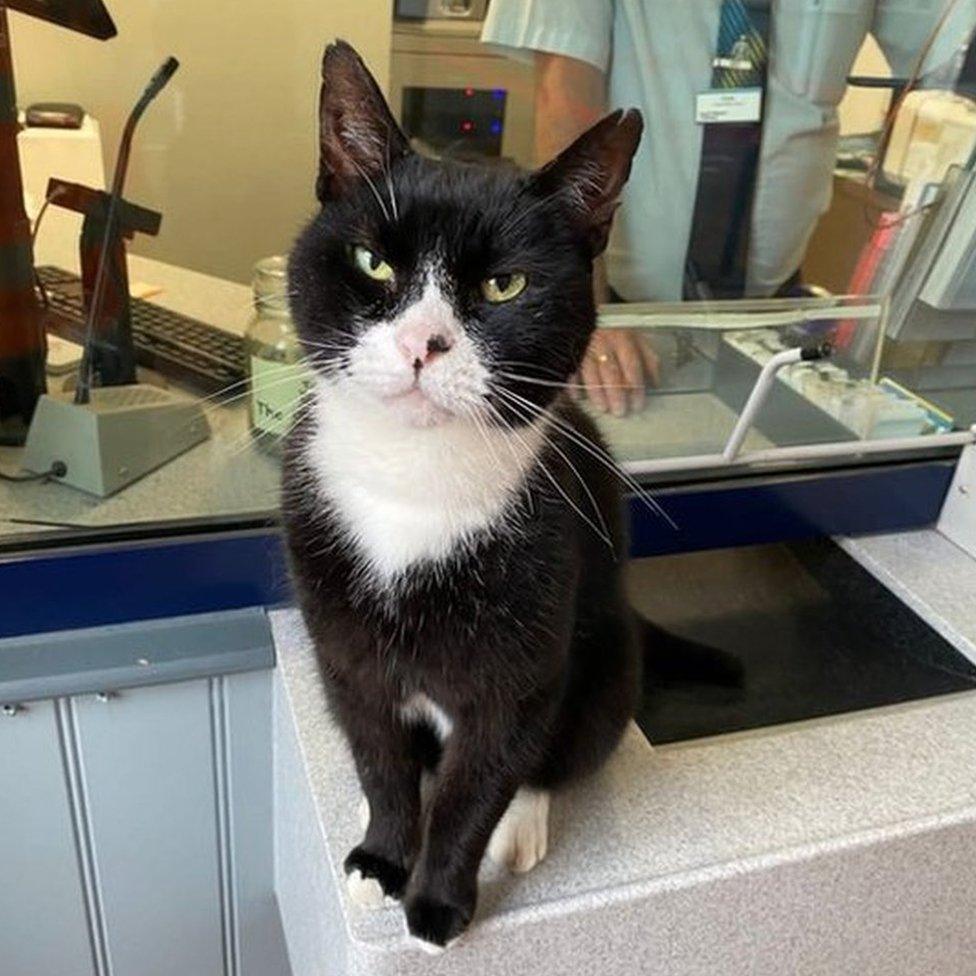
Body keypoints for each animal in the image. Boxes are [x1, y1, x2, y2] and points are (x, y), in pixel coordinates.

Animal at [278, 42, 736, 948]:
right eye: (374, 262)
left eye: (503, 288)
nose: (424, 343)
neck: (412, 480)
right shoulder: (343, 649)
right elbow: (380, 757)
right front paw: (382, 857)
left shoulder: (522, 662)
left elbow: (480, 784)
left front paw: (438, 901)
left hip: (605, 658)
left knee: (561, 750)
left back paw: (524, 822)